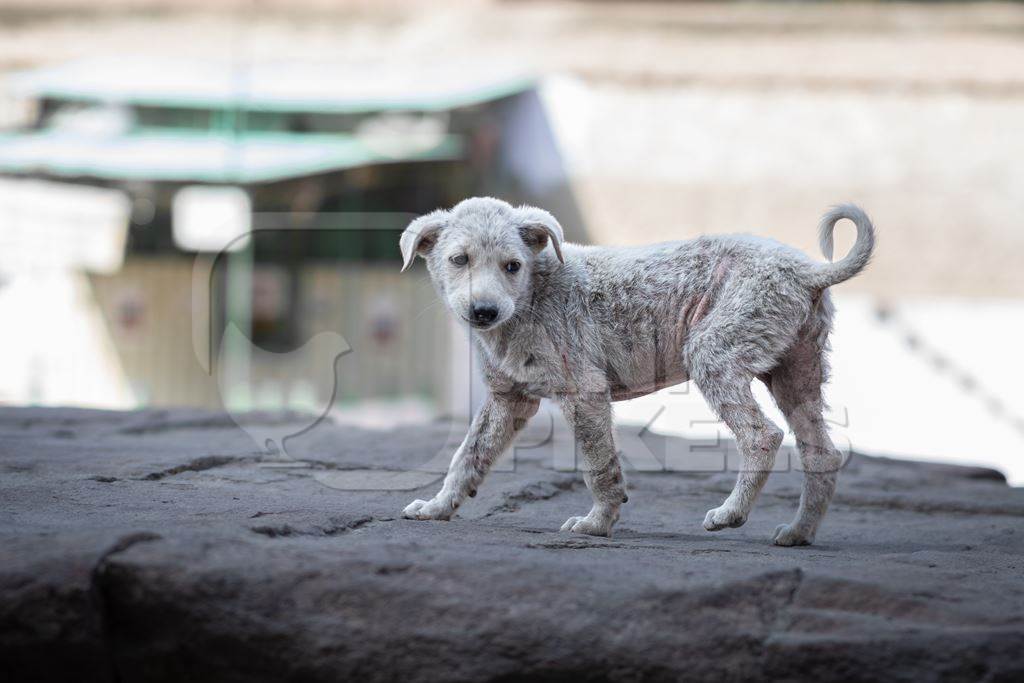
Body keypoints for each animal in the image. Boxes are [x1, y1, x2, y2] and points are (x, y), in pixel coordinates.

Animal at [397, 196, 872, 544]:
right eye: (459, 260)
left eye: (512, 265)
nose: (484, 311)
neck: (534, 292)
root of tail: (809, 270)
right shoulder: (508, 399)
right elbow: (467, 455)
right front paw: (437, 508)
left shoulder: (585, 390)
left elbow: (598, 463)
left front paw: (596, 524)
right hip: (796, 370)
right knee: (822, 454)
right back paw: (798, 533)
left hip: (715, 350)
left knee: (763, 436)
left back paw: (729, 514)